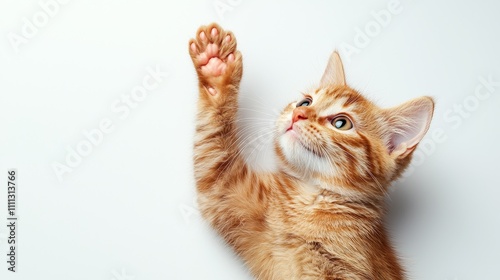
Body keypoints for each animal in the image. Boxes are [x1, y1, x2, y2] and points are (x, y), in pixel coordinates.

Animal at [188, 23, 434, 278]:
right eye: (305, 102)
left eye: (341, 123)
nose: (299, 114)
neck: (312, 196)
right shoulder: (224, 192)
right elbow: (211, 145)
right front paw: (215, 66)